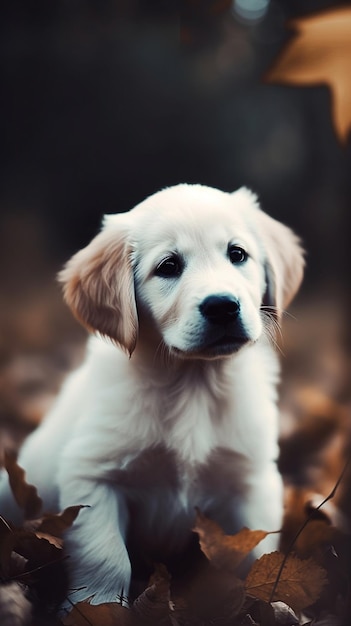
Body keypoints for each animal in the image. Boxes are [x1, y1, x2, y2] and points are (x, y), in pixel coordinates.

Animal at [0, 184, 304, 604]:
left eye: (238, 254)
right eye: (168, 266)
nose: (223, 306)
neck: (193, 384)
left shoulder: (252, 481)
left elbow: (255, 553)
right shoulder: (93, 476)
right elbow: (107, 558)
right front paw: (100, 607)